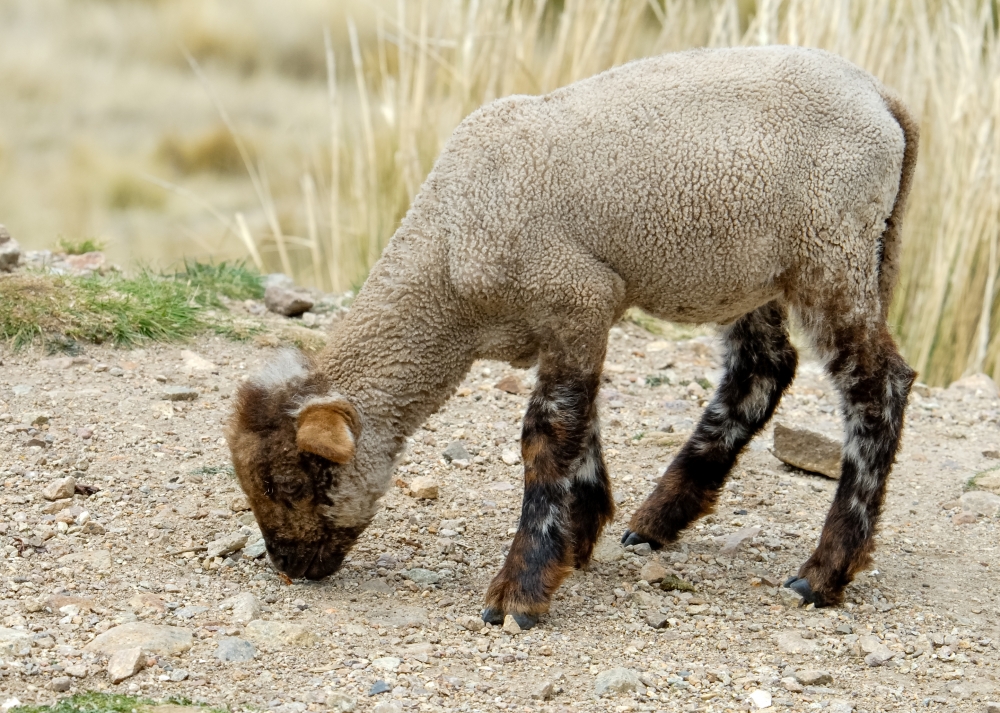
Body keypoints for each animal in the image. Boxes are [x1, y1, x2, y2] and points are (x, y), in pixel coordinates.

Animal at [230, 44, 916, 624]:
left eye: (294, 481)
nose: (291, 568)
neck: (447, 260)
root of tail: (883, 97)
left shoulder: (577, 297)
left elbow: (548, 434)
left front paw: (521, 591)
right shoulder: (570, 322)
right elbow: (578, 429)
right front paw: (580, 535)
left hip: (831, 251)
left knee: (878, 387)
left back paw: (824, 573)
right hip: (754, 269)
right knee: (762, 369)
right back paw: (659, 519)